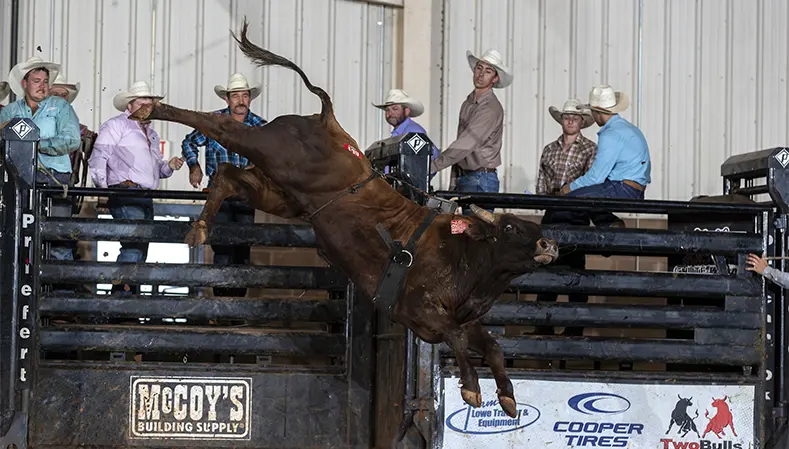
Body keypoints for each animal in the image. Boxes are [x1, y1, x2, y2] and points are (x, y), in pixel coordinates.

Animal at [128, 20, 559, 418]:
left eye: (535, 227)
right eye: (511, 228)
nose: (549, 244)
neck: (464, 256)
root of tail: (328, 121)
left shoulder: (467, 319)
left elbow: (494, 347)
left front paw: (507, 397)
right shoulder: (422, 312)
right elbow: (457, 338)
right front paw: (471, 388)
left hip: (282, 192)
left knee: (228, 175)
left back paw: (200, 227)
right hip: (269, 149)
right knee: (217, 127)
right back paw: (148, 108)